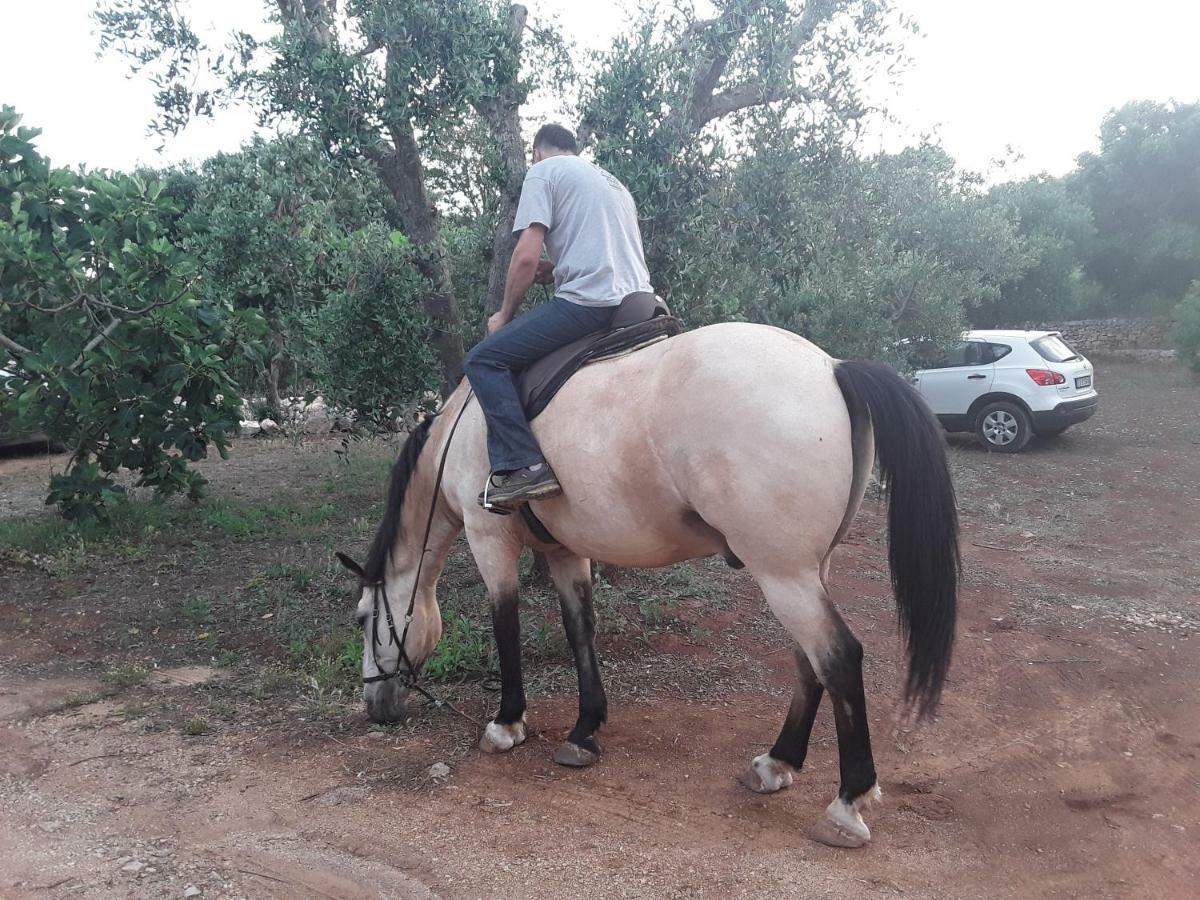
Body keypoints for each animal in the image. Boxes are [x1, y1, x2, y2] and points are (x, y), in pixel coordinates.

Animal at [336, 324, 955, 854]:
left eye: (365, 618)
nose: (373, 706)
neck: (458, 431)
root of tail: (831, 367)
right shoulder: (566, 551)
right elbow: (579, 630)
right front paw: (586, 729)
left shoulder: (490, 540)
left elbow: (505, 627)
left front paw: (507, 722)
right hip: (805, 572)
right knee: (812, 662)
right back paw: (779, 762)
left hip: (783, 574)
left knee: (840, 659)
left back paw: (847, 804)